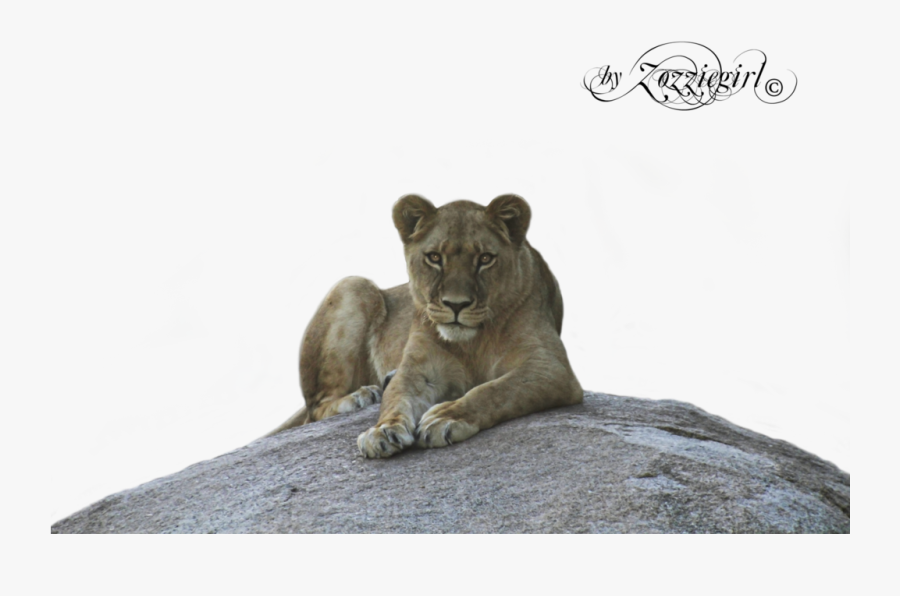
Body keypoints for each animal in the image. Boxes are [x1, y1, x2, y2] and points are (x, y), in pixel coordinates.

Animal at [266, 194, 583, 458]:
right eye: (434, 258)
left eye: (484, 258)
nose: (456, 305)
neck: (472, 342)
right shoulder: (419, 370)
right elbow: (396, 399)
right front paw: (383, 431)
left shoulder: (550, 368)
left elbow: (495, 390)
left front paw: (447, 417)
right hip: (354, 284)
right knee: (315, 408)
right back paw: (360, 396)